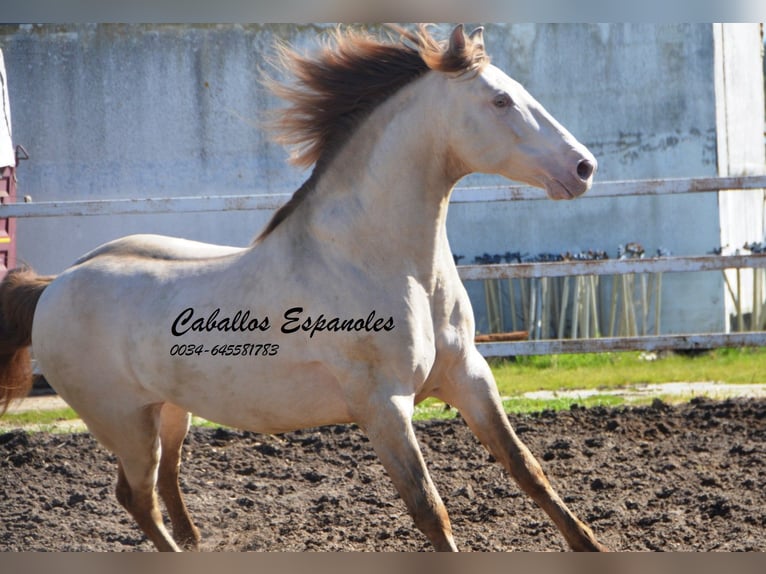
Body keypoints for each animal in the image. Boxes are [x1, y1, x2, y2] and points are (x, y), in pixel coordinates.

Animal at [0, 24, 605, 552]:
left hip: (170, 411)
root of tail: (54, 286)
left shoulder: (469, 377)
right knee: (137, 497)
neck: (385, 262)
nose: (584, 167)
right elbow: (429, 509)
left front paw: (590, 545)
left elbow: (529, 470)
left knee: (165, 485)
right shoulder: (384, 405)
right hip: (124, 423)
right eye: (500, 101)